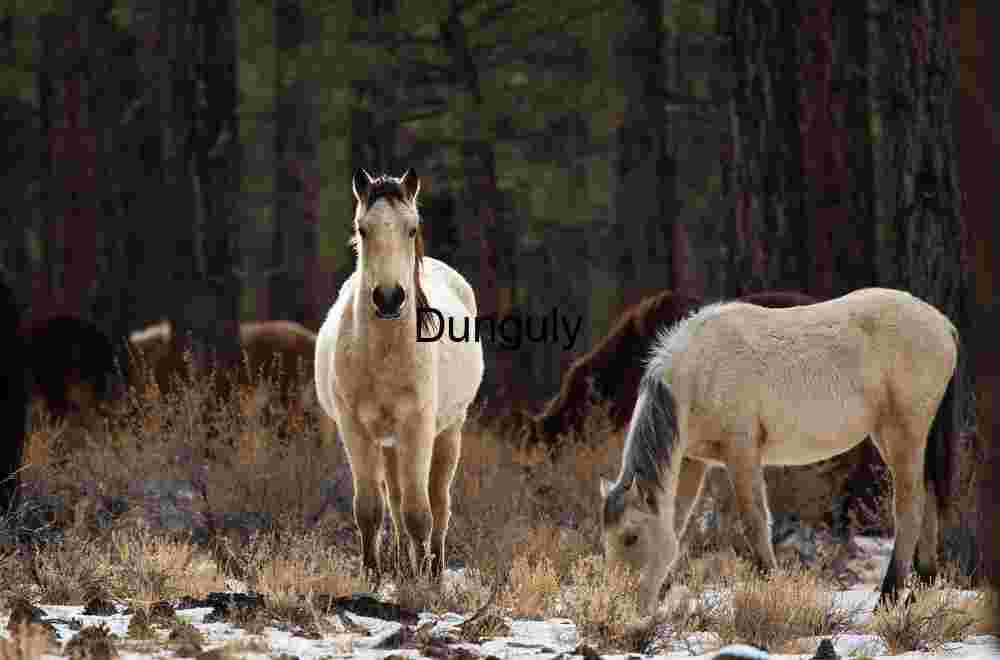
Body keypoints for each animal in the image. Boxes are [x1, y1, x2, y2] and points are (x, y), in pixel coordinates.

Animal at [314, 168, 484, 582]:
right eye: (363, 230)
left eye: (411, 229)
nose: (389, 298)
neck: (384, 354)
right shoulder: (354, 429)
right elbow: (369, 509)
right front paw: (373, 576)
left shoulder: (417, 428)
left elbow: (419, 513)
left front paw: (423, 581)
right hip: (389, 443)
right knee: (392, 499)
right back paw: (400, 565)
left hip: (448, 431)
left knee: (438, 504)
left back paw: (433, 570)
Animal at [598, 288, 960, 615]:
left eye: (631, 536)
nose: (624, 605)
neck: (698, 373)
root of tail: (944, 325)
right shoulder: (692, 461)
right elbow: (677, 527)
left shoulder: (741, 453)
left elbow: (755, 523)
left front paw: (772, 587)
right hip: (893, 436)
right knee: (927, 497)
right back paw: (922, 586)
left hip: (904, 432)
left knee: (909, 509)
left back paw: (887, 599)